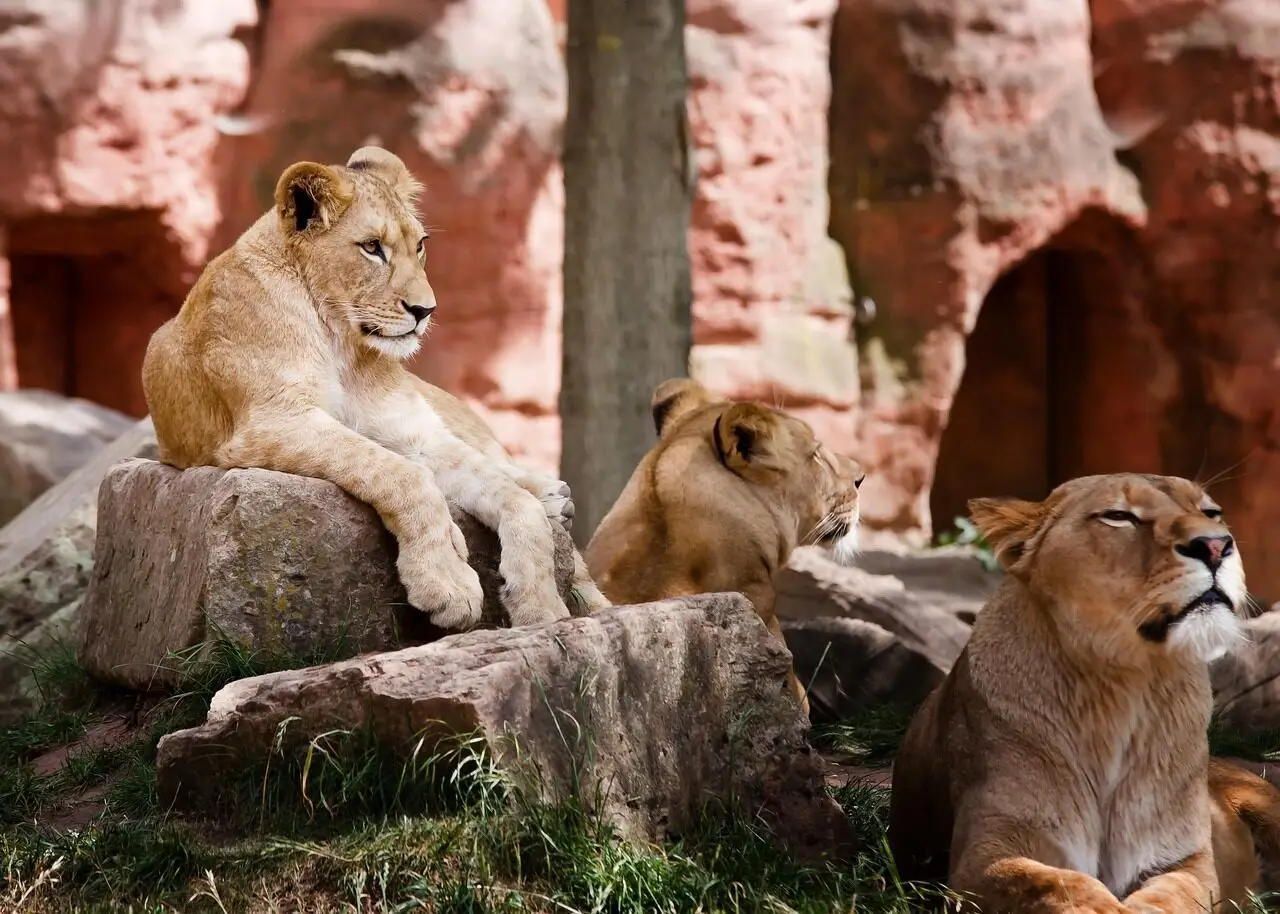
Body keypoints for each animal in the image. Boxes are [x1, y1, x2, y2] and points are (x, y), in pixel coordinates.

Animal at [142, 146, 610, 630]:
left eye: (419, 245)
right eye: (371, 248)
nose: (425, 310)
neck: (341, 341)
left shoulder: (413, 432)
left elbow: (513, 501)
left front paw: (541, 605)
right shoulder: (271, 423)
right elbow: (403, 475)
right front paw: (447, 580)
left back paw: (553, 499)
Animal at [887, 473, 1276, 913]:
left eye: (1211, 512)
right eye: (1119, 516)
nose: (1215, 545)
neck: (1126, 685)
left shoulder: (1187, 859)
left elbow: (1173, 896)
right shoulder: (983, 856)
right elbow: (1061, 885)